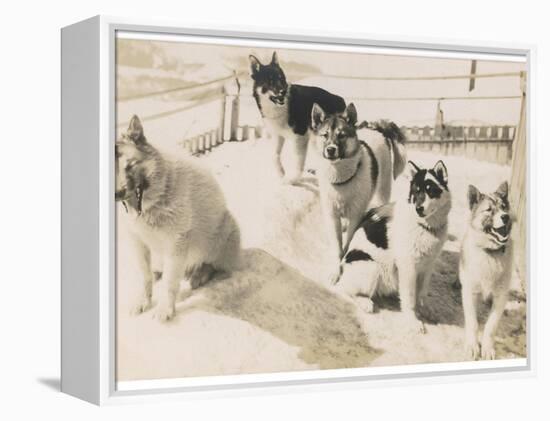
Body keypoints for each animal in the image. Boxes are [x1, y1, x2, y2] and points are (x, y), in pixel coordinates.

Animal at [116, 115, 242, 322]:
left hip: (223, 230)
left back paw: (199, 275)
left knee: (213, 265)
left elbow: (169, 283)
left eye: (130, 165)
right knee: (158, 270)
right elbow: (145, 276)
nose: (117, 194)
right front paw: (143, 301)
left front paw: (165, 310)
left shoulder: (176, 242)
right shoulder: (137, 241)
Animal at [310, 102, 410, 286]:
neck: (341, 179)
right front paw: (335, 270)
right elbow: (336, 246)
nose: (331, 150)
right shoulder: (331, 215)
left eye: (342, 135)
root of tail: (377, 128)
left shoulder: (356, 215)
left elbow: (348, 241)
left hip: (382, 190)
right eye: (324, 135)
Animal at [336, 159, 452, 334]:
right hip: (372, 268)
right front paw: (412, 321)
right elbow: (410, 298)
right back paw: (365, 302)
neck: (425, 226)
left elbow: (422, 292)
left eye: (431, 191)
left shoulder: (428, 266)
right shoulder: (408, 266)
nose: (418, 208)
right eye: (416, 191)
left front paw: (425, 309)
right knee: (344, 289)